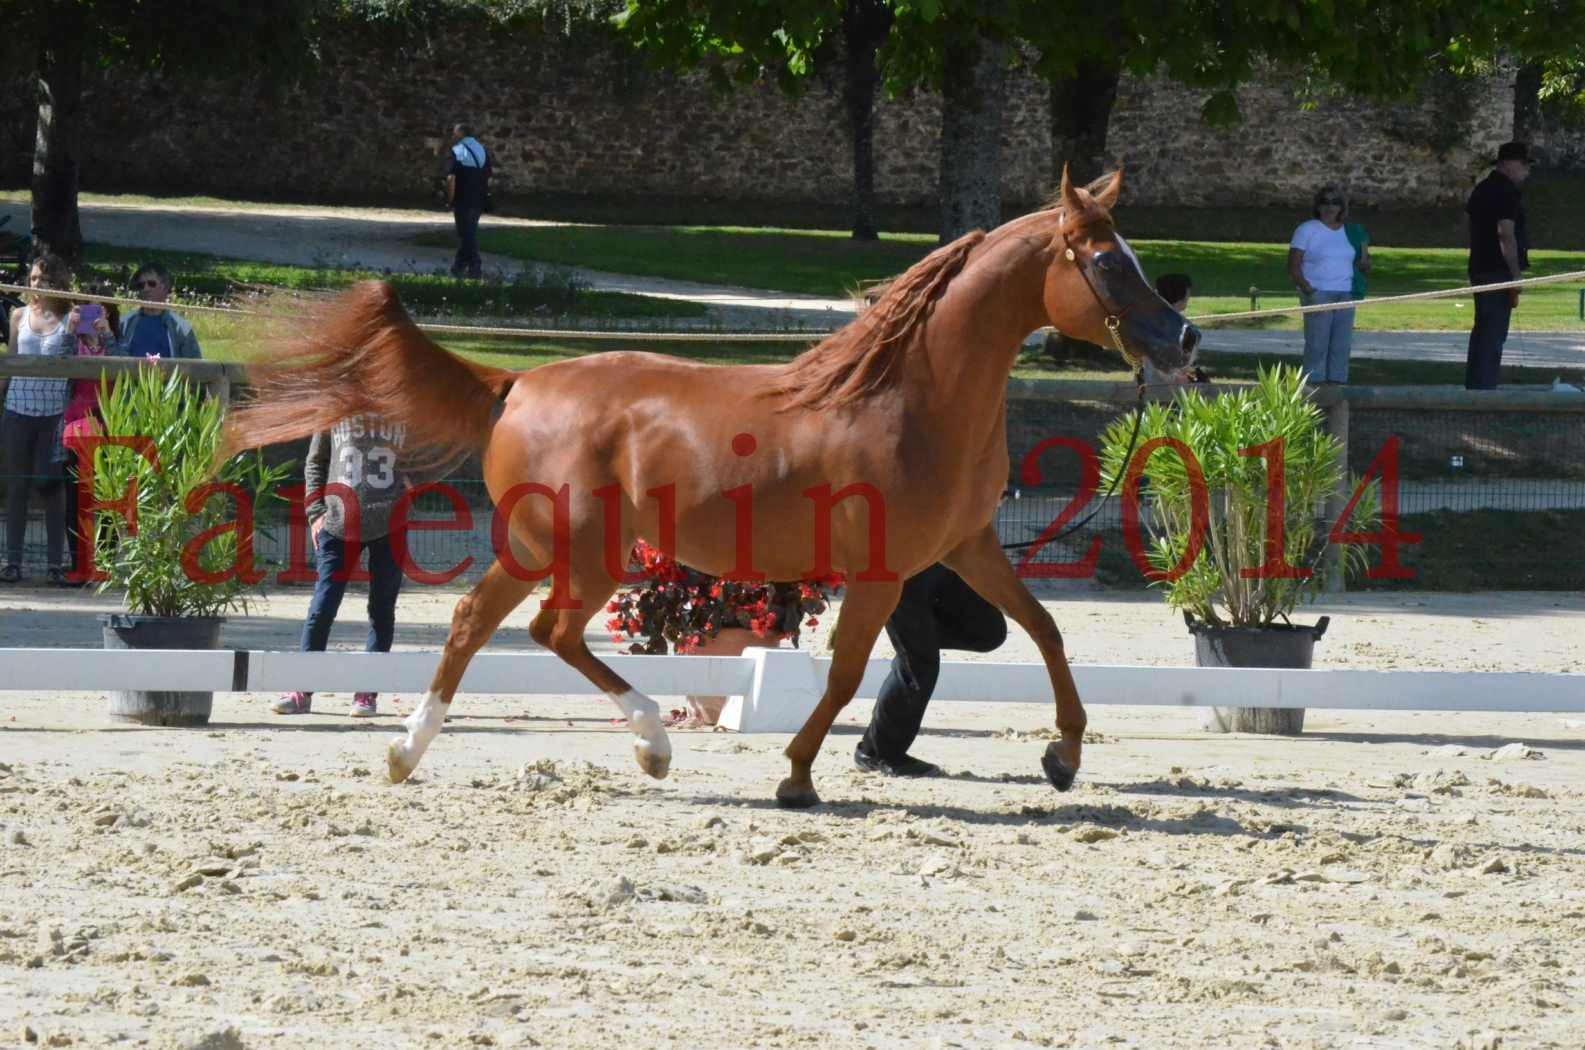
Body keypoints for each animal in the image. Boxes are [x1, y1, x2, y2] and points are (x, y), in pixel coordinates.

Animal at [220, 170, 1191, 805]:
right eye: (1106, 262)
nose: (1181, 340)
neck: (909, 398)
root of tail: (518, 384)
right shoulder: (881, 573)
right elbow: (846, 674)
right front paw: (795, 775)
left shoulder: (966, 547)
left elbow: (1046, 632)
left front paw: (1063, 757)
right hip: (588, 552)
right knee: (547, 631)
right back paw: (650, 745)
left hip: (539, 546)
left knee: (476, 623)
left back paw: (407, 754)